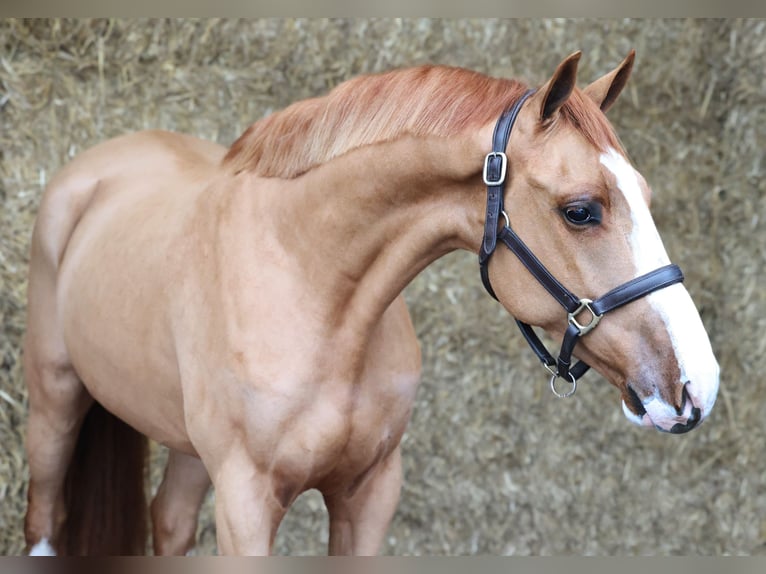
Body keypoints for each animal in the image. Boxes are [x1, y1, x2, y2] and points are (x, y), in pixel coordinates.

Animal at [22, 50, 719, 556]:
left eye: (645, 195)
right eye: (581, 211)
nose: (698, 384)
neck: (314, 289)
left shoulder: (370, 494)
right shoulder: (247, 503)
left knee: (167, 521)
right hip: (56, 400)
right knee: (44, 516)